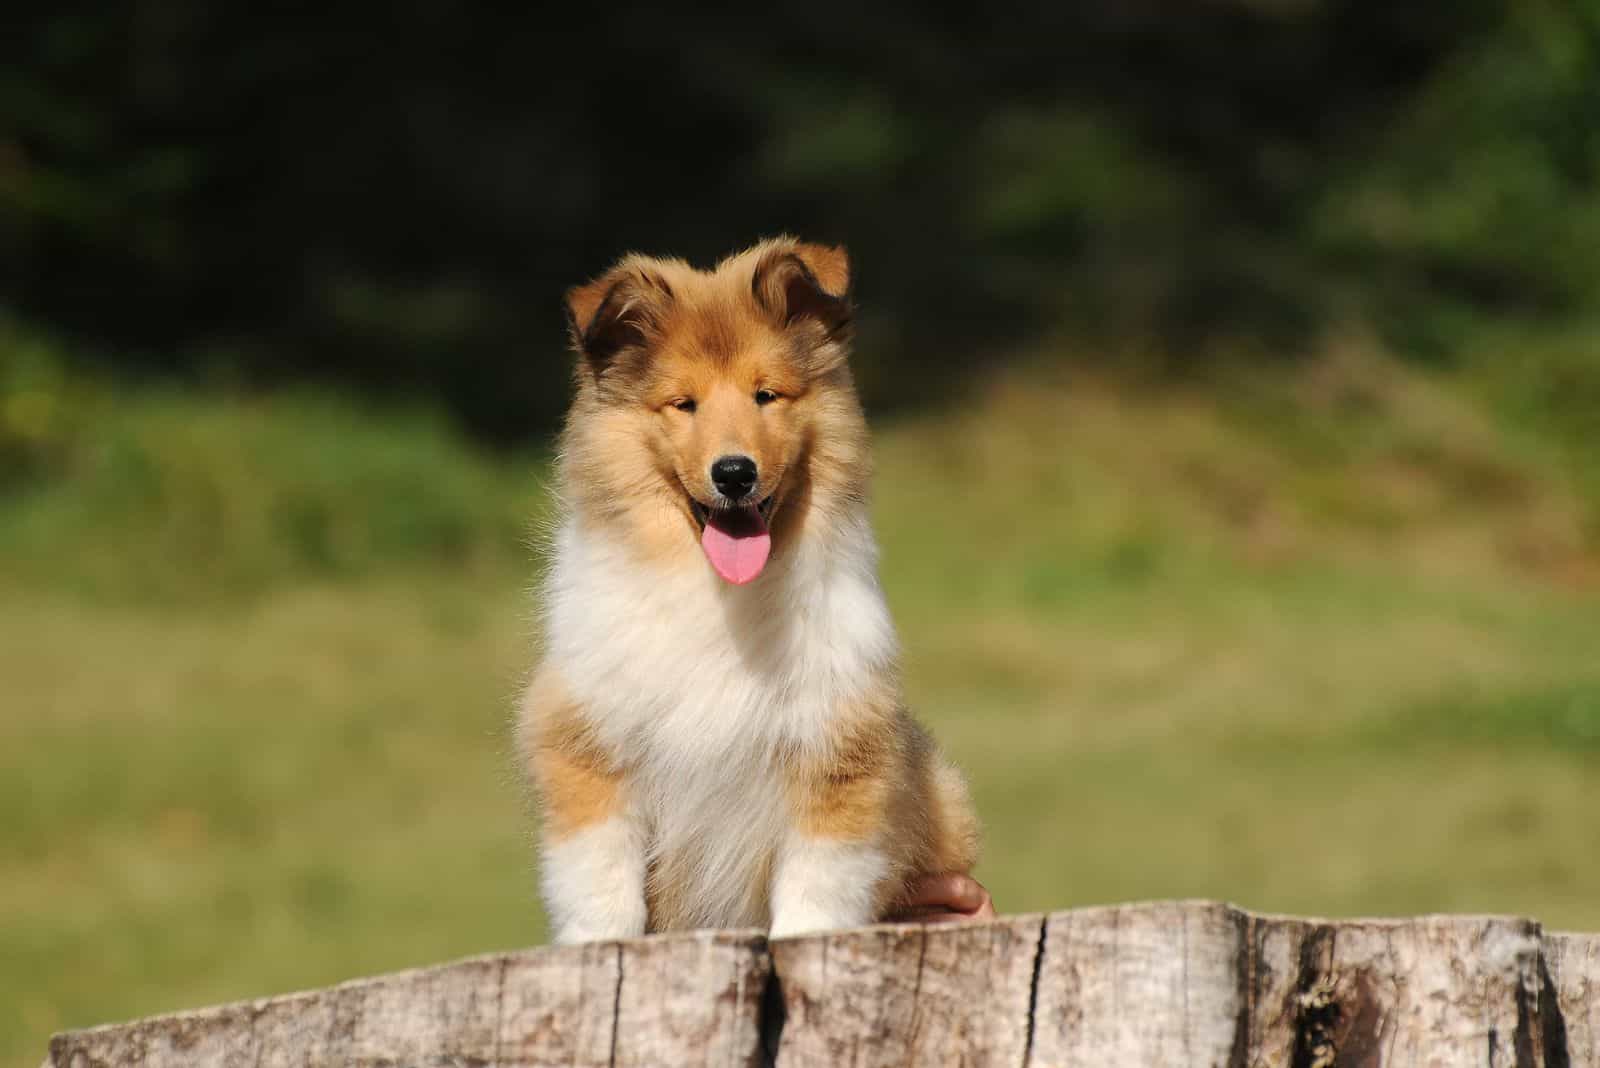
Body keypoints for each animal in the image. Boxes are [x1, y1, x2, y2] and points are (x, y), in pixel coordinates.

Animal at [518, 235, 979, 940]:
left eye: (766, 395)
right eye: (684, 404)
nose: (734, 473)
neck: (719, 594)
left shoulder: (841, 753)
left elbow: (818, 888)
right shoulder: (585, 744)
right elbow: (599, 883)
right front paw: (594, 946)